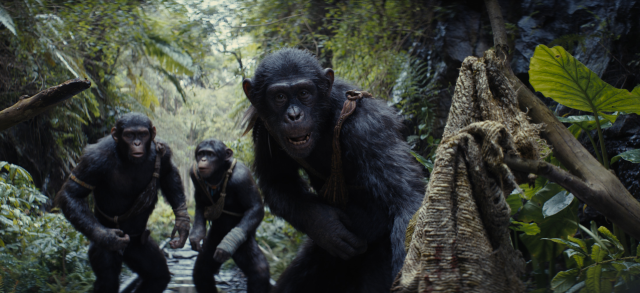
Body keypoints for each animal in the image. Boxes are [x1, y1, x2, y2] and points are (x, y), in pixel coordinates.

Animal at [54, 112, 190, 292]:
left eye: (143, 134)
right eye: (129, 135)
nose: (137, 143)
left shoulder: (164, 151)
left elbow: (168, 173)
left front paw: (182, 224)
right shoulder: (93, 159)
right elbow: (72, 193)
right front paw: (108, 237)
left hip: (139, 246)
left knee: (158, 275)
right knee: (107, 279)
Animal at [189, 138, 272, 290]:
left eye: (210, 154)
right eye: (201, 153)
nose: (203, 159)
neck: (219, 173)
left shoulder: (243, 177)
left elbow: (255, 207)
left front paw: (225, 247)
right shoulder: (194, 173)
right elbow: (200, 204)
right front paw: (196, 236)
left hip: (243, 241)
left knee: (259, 270)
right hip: (214, 238)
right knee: (202, 271)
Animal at [240, 48, 424, 292]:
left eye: (304, 93)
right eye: (279, 97)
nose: (294, 115)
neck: (324, 118)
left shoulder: (368, 127)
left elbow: (406, 201)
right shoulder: (263, 128)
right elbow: (278, 181)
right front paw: (327, 227)